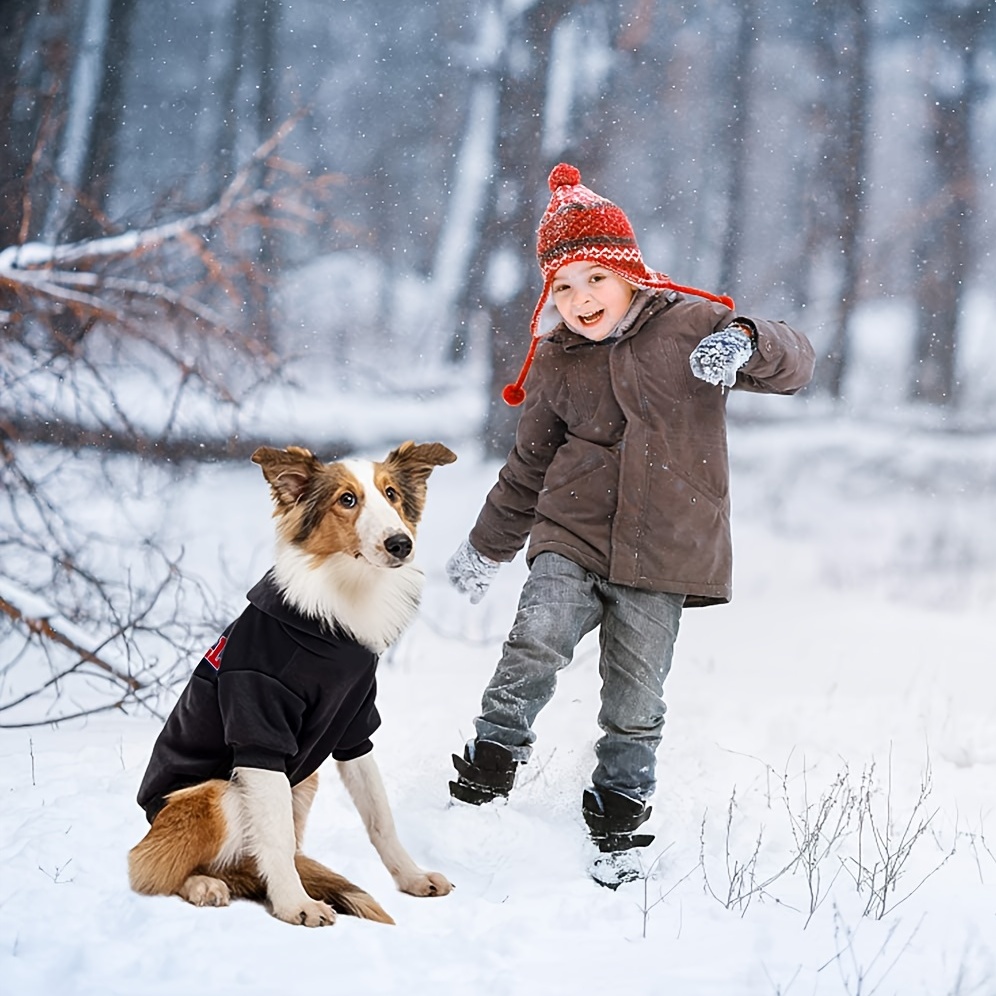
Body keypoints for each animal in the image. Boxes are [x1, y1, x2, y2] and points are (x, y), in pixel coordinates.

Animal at [128, 444, 460, 924]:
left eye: (392, 494)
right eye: (346, 500)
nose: (401, 544)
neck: (335, 612)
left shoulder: (354, 728)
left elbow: (380, 817)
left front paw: (411, 878)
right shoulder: (259, 731)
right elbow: (277, 839)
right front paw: (294, 905)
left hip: (304, 780)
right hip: (216, 793)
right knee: (151, 867)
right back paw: (204, 884)